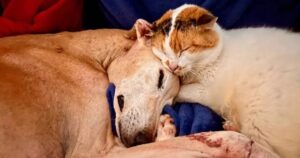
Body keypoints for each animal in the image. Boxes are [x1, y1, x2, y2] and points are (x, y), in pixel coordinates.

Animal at [127, 4, 300, 158]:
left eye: (184, 49)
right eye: (163, 51)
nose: (172, 65)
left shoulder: (208, 92)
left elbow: (182, 90)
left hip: (258, 118)